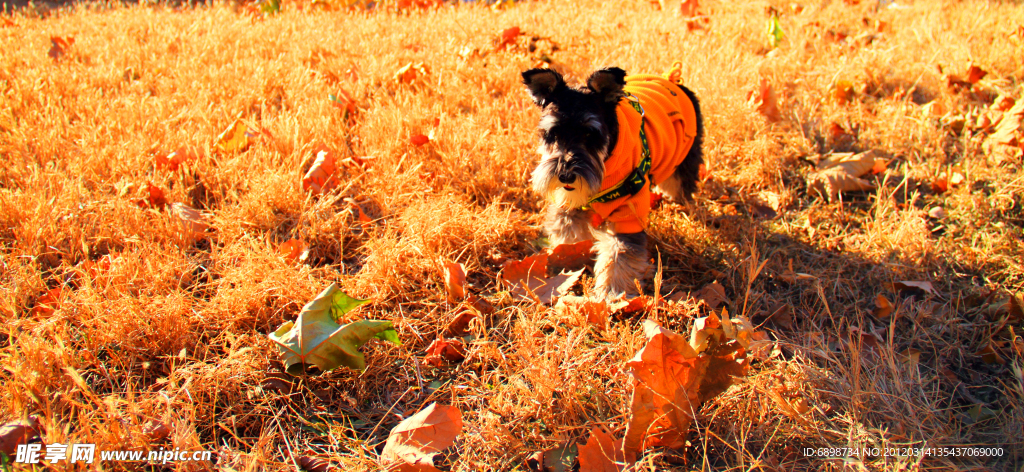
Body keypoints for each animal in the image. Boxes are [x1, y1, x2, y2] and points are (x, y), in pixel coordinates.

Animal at [524, 65, 700, 298]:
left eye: (589, 133)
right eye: (554, 133)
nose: (566, 175)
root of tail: (672, 80)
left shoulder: (628, 214)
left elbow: (620, 256)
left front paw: (612, 293)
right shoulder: (570, 204)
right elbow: (568, 233)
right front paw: (567, 261)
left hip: (683, 157)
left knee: (680, 184)